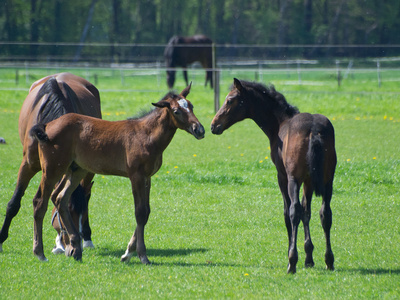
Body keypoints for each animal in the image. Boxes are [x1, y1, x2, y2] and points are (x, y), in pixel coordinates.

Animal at [0, 73, 101, 260]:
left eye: (80, 215)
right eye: (67, 212)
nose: (72, 246)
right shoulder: (28, 165)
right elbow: (14, 204)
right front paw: (1, 240)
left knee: (86, 193)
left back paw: (85, 239)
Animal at [28, 84, 203, 262]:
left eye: (191, 106)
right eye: (176, 111)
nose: (199, 130)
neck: (147, 135)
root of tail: (47, 126)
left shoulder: (147, 177)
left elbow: (146, 211)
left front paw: (128, 252)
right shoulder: (136, 176)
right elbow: (140, 212)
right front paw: (141, 255)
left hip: (76, 170)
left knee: (60, 197)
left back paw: (76, 249)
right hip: (52, 169)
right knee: (40, 201)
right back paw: (39, 252)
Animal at [211, 78, 336, 274]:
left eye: (230, 100)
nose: (213, 125)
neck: (280, 123)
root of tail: (314, 131)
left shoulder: (282, 176)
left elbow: (288, 213)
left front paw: (293, 255)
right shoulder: (309, 180)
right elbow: (307, 212)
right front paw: (309, 257)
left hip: (294, 179)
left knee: (294, 211)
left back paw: (292, 262)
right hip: (328, 180)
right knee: (325, 213)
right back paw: (329, 260)